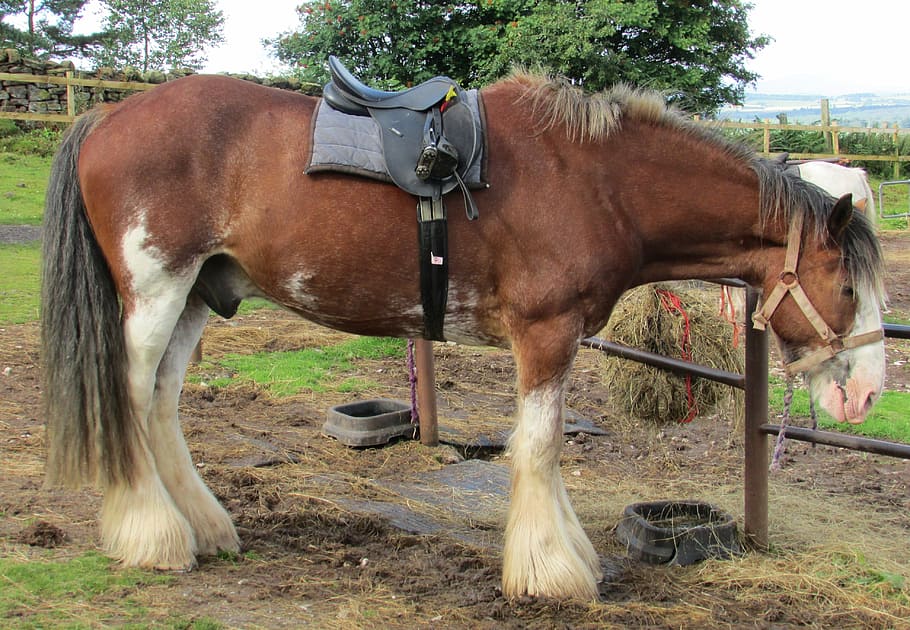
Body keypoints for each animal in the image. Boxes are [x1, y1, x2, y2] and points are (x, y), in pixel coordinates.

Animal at [39, 73, 888, 604]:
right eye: (848, 288)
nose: (868, 394)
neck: (596, 180)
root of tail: (106, 117)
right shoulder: (545, 335)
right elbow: (539, 448)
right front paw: (550, 572)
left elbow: (547, 452)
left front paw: (567, 556)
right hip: (156, 295)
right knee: (129, 399)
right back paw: (153, 536)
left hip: (193, 298)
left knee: (159, 405)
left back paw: (205, 526)